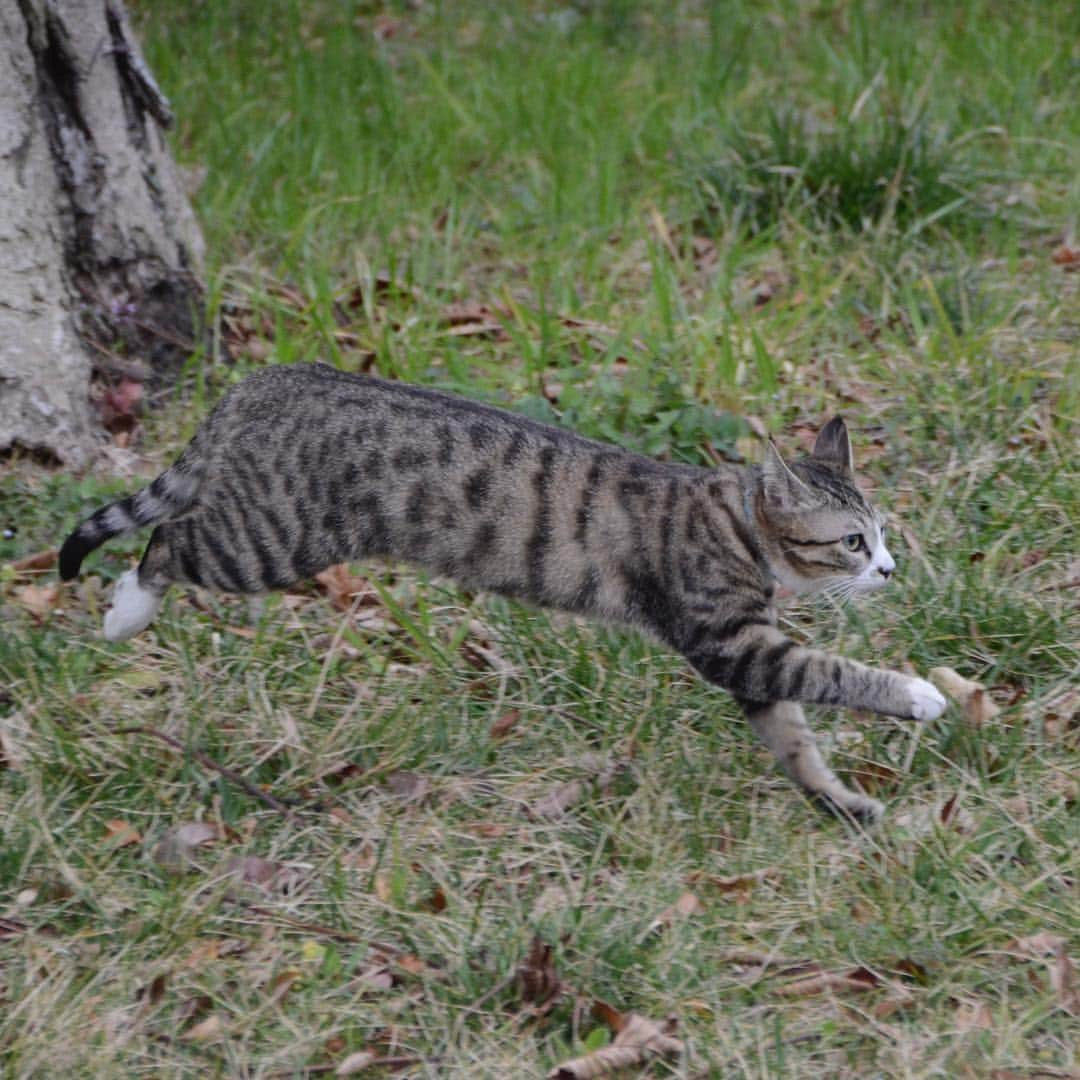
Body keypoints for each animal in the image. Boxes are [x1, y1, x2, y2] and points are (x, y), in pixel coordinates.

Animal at [61, 362, 946, 816]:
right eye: (853, 541)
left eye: (881, 533)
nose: (890, 570)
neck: (731, 520)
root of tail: (265, 378)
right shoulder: (735, 643)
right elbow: (831, 672)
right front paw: (918, 694)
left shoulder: (750, 661)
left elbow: (795, 740)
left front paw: (840, 802)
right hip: (272, 539)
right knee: (169, 541)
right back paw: (125, 613)